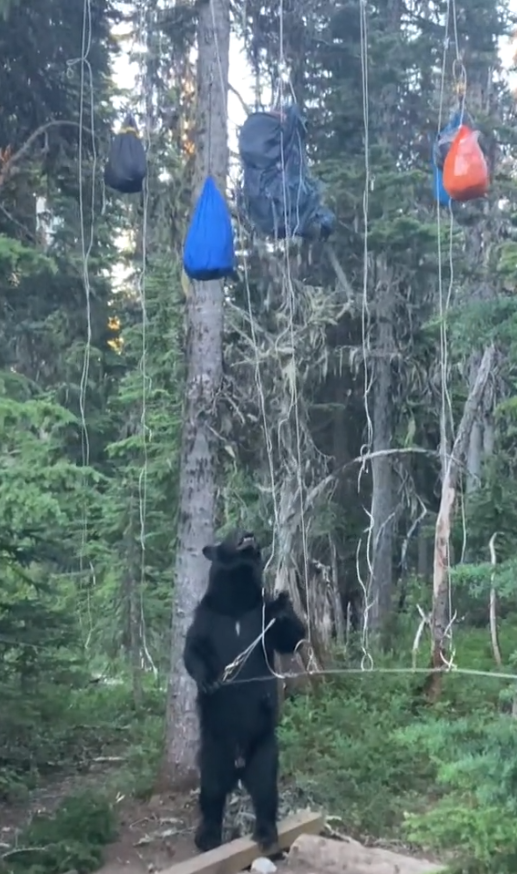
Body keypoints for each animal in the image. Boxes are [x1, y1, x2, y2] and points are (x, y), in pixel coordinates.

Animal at [183, 528, 306, 848]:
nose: (249, 533)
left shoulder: (259, 617)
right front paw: (209, 679)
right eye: (231, 532)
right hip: (213, 751)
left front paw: (284, 604)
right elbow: (192, 650)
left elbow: (291, 638)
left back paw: (266, 833)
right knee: (212, 791)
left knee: (264, 790)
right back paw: (207, 836)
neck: (236, 604)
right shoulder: (206, 617)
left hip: (264, 748)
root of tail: (238, 764)